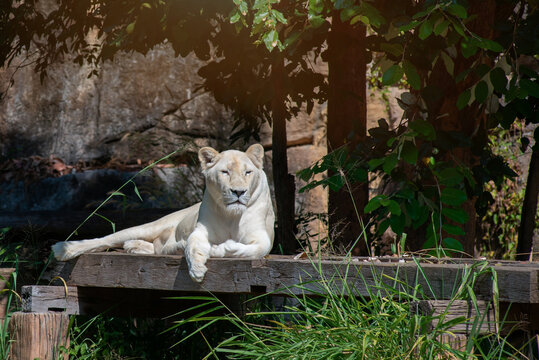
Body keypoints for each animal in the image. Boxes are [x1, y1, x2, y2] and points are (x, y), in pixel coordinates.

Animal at [51, 143, 276, 282]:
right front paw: (197, 270)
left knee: (157, 247)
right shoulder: (200, 231)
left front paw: (220, 249)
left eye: (248, 172)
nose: (238, 192)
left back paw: (139, 247)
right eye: (225, 172)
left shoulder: (263, 238)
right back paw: (63, 249)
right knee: (105, 240)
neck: (231, 216)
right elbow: (193, 246)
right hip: (148, 226)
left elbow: (254, 249)